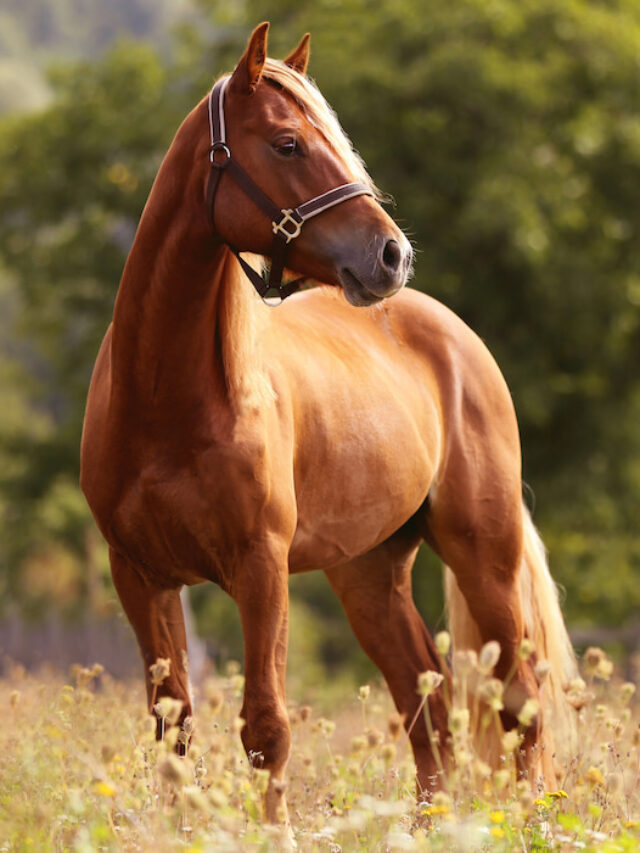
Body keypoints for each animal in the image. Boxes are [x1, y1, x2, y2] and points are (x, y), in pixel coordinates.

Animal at [81, 22, 577, 827]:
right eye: (287, 144)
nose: (392, 254)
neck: (167, 402)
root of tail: (455, 335)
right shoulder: (140, 576)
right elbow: (173, 729)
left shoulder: (260, 568)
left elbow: (266, 726)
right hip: (369, 573)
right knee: (426, 704)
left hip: (485, 555)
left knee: (519, 701)